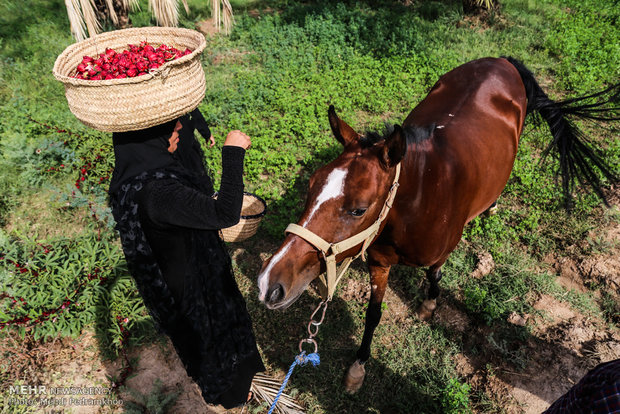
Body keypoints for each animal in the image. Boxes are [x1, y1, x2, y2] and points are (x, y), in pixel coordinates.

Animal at [254, 56, 616, 392]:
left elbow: (434, 275)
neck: (422, 199)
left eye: (358, 210)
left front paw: (429, 304)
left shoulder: (441, 251)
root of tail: (502, 60)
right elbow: (373, 313)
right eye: (311, 184)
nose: (270, 283)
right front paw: (358, 367)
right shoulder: (379, 261)